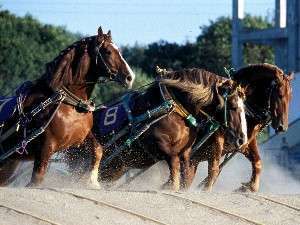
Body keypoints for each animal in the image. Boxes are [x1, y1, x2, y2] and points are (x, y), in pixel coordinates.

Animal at [0, 26, 135, 188]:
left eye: (119, 50)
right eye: (108, 51)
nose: (130, 77)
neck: (69, 103)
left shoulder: (78, 141)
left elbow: (98, 149)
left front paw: (92, 181)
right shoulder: (45, 148)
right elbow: (37, 179)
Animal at [65, 67, 248, 191]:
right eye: (233, 106)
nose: (242, 139)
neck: (174, 107)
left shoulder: (186, 152)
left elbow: (186, 172)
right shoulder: (159, 145)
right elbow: (174, 166)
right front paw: (170, 186)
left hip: (115, 167)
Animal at [188, 63, 292, 192]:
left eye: (290, 96)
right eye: (280, 94)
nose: (283, 127)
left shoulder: (245, 142)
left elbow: (257, 163)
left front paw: (249, 186)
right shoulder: (217, 139)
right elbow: (214, 169)